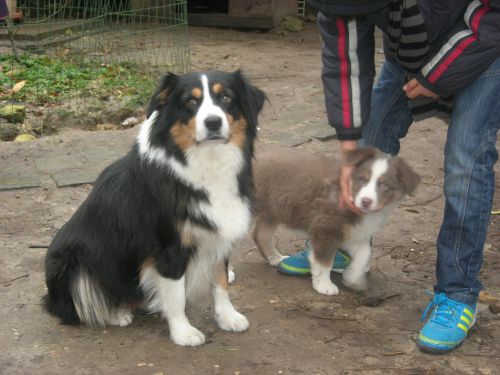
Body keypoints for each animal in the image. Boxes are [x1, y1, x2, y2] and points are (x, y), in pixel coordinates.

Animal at [44, 70, 266, 346]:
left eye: (226, 97)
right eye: (190, 101)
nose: (213, 122)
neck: (205, 161)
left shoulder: (218, 233)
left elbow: (221, 281)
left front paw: (228, 317)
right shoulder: (169, 246)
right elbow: (177, 295)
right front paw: (183, 332)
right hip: (71, 263)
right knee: (75, 305)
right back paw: (115, 313)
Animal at [252, 147, 420, 296]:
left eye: (385, 186)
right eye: (362, 179)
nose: (366, 201)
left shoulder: (351, 231)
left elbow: (364, 252)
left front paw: (352, 278)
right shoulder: (326, 228)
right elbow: (324, 262)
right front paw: (324, 286)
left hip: (271, 211)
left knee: (261, 235)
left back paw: (275, 258)